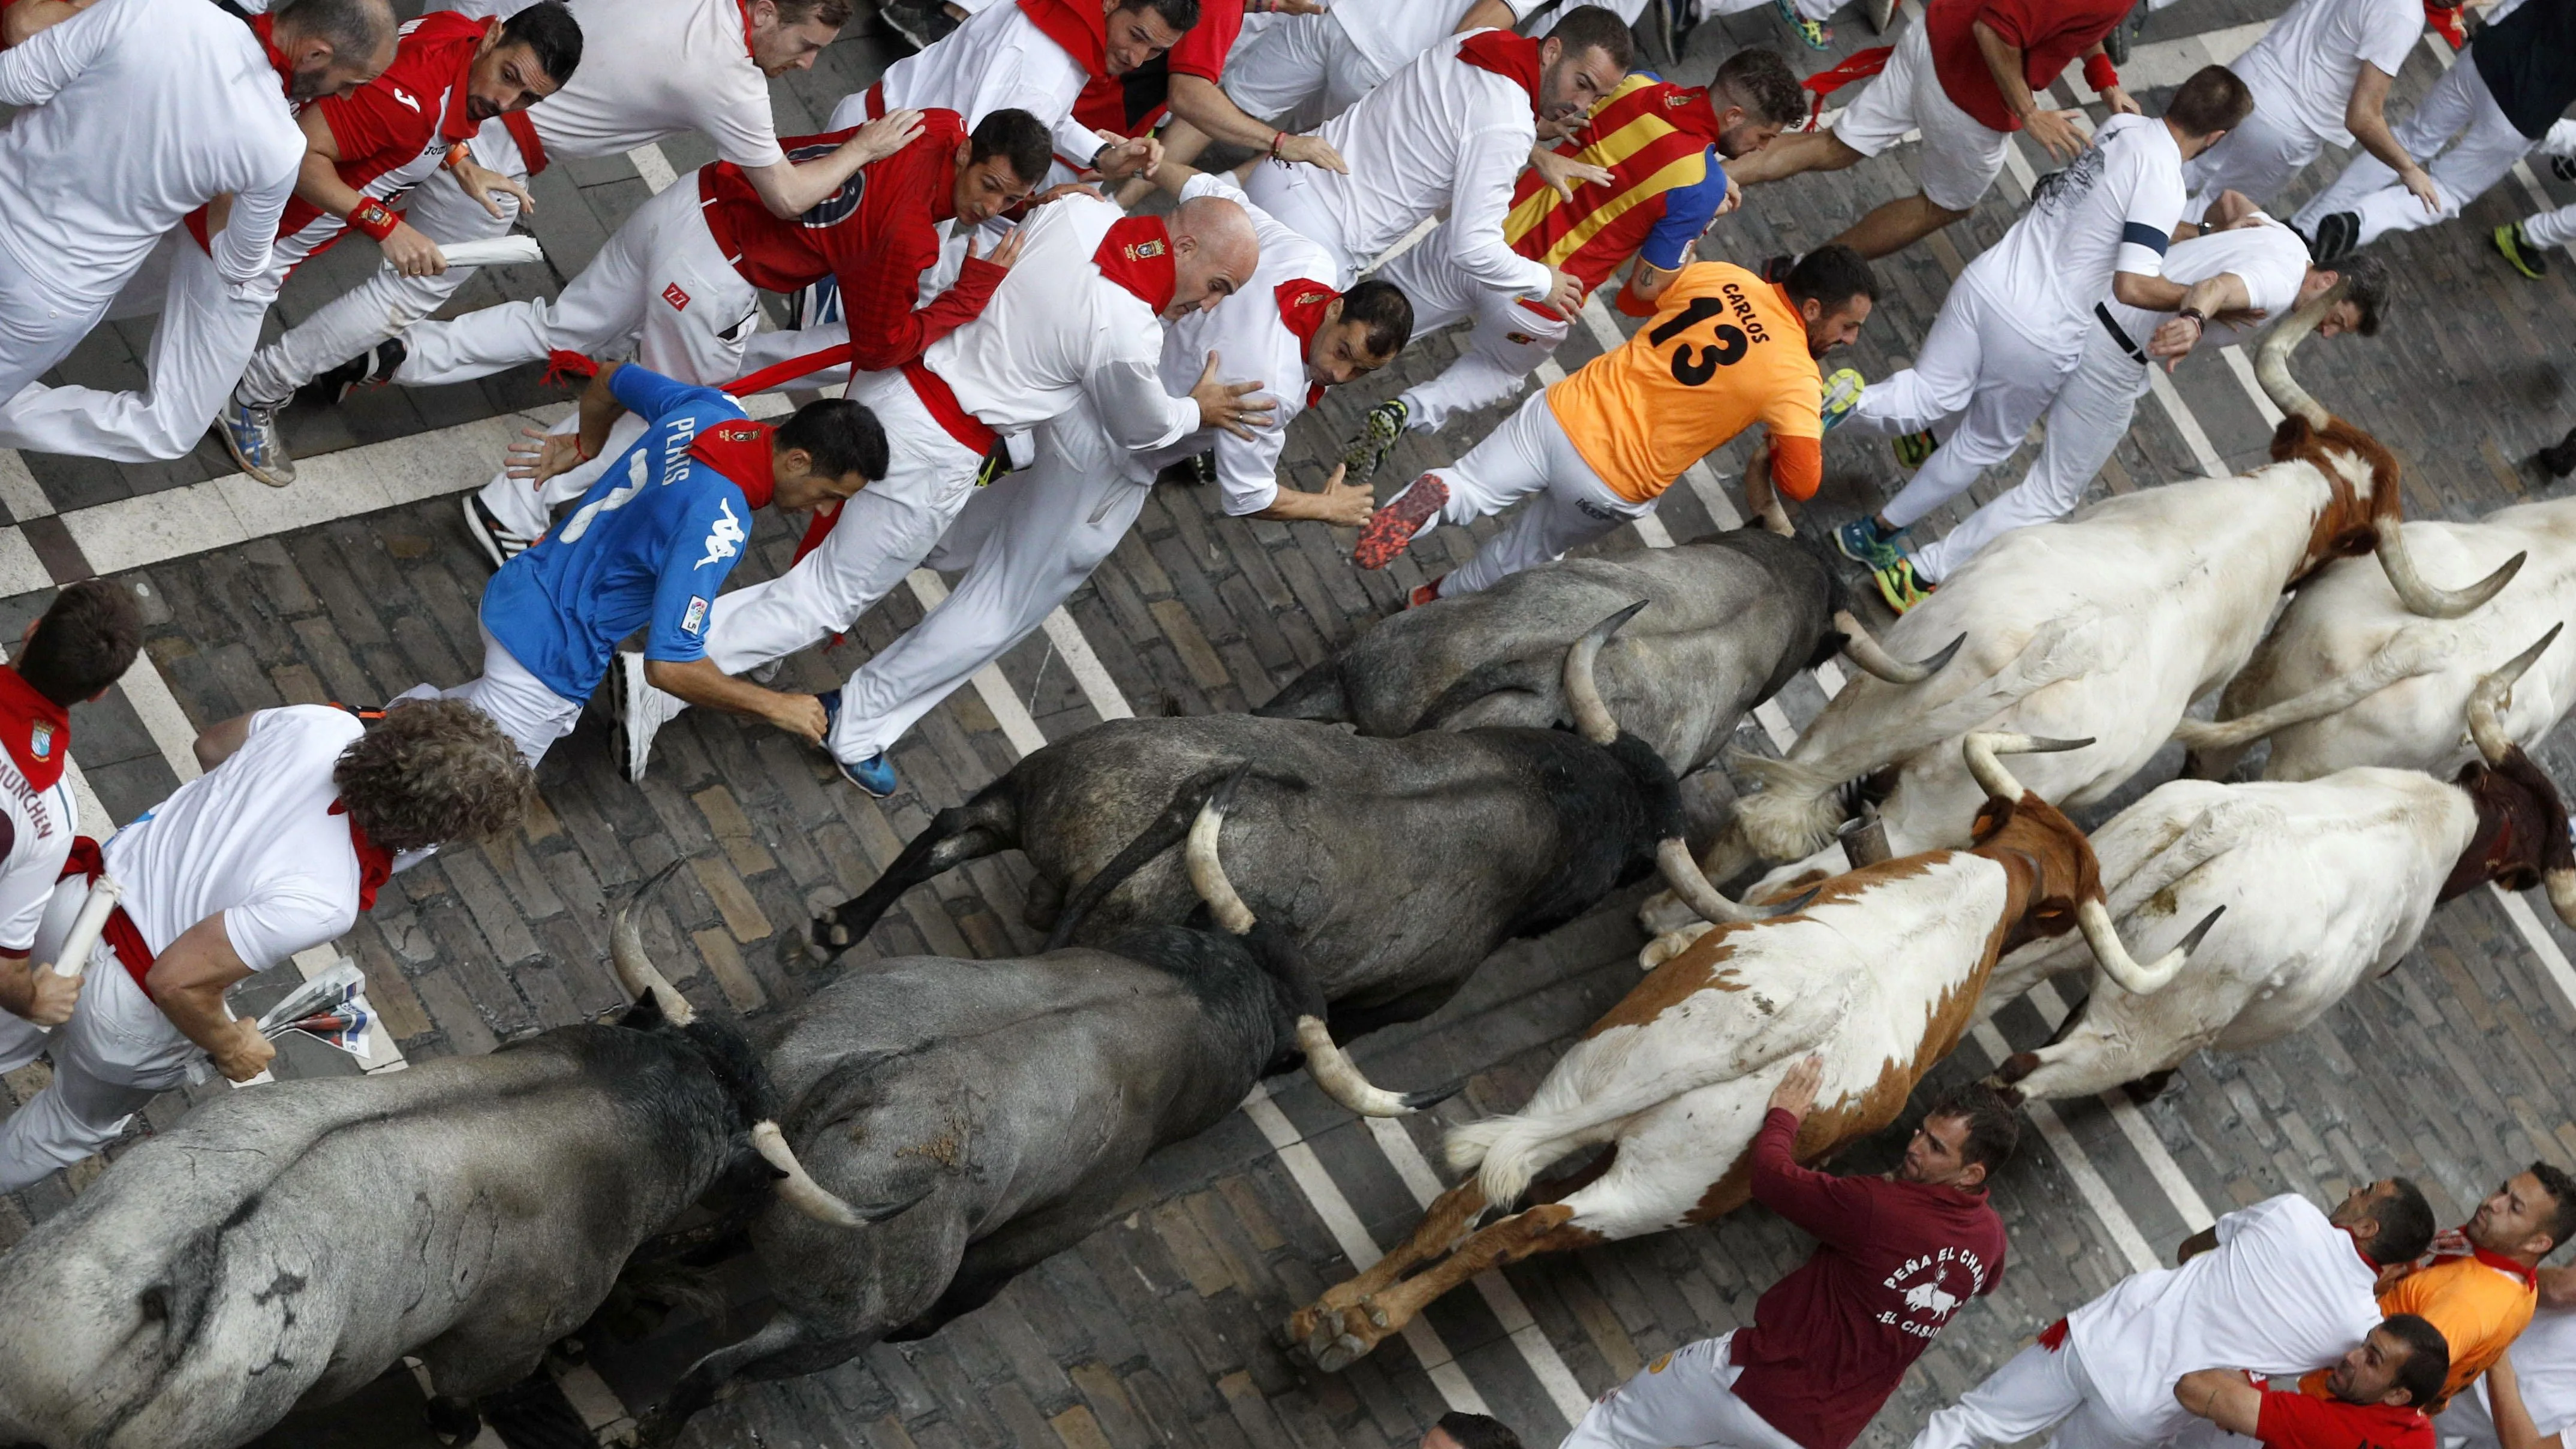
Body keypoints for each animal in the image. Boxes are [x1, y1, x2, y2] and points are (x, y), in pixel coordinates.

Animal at [814, 612, 1782, 1044]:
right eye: (1628, 866)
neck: (1546, 799)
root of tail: (1184, 797)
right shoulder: (1403, 998)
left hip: (1027, 792)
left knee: (946, 829)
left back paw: (838, 927)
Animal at [1288, 736, 2215, 1369]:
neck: (1993, 878)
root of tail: (1767, 1028)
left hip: (1588, 1084)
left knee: (1478, 1195)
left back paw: (1336, 1311)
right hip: (1666, 1194)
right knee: (1524, 1227)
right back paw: (1369, 1324)